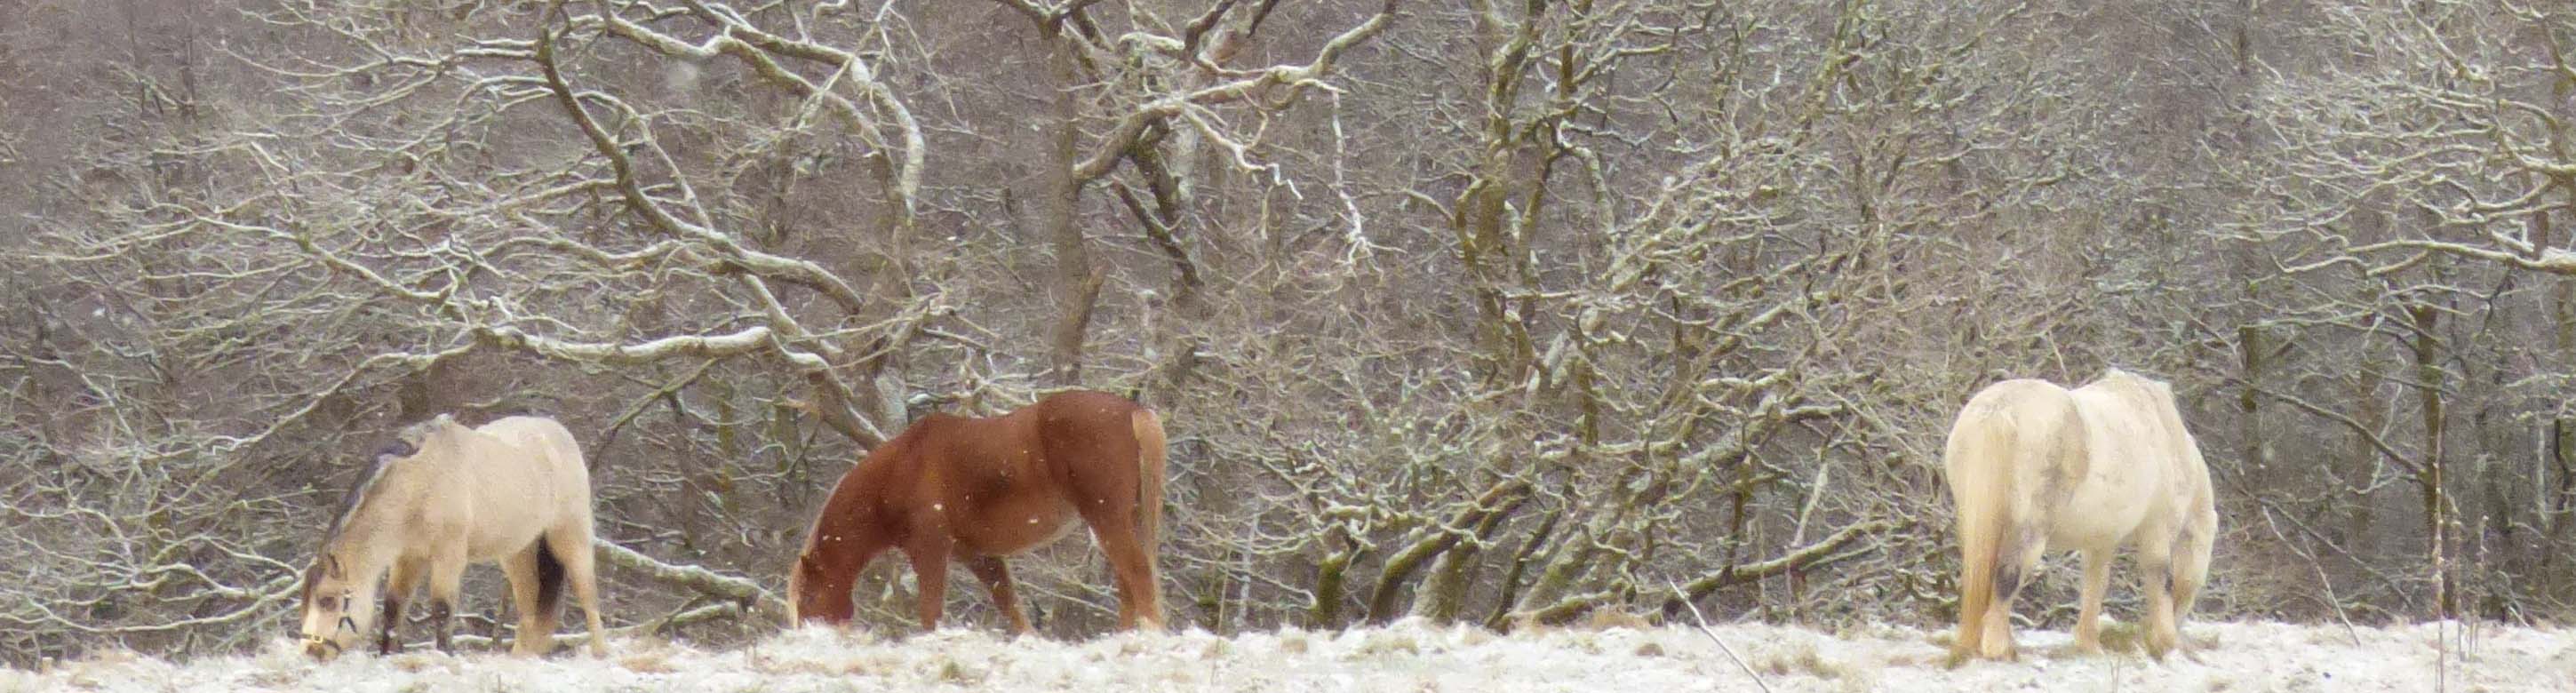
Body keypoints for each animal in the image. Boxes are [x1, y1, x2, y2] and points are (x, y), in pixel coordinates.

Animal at [297, 414, 609, 660]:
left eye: (328, 600)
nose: (312, 651)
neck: (420, 484)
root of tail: (560, 434)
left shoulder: (449, 557)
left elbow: (443, 608)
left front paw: (445, 654)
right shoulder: (408, 558)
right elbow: (394, 607)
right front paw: (388, 654)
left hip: (570, 538)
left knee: (589, 596)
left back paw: (599, 652)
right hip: (517, 551)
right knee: (530, 602)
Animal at [787, 389, 1168, 634]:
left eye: (809, 596)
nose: (807, 635)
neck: (901, 468)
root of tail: (1133, 410)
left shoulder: (930, 551)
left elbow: (930, 613)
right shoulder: (979, 557)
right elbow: (1011, 609)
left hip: (1108, 520)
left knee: (1138, 574)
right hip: (1124, 520)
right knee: (1128, 583)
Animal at [1941, 368, 2218, 663]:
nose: (2179, 622)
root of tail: (1999, 409)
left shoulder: (2101, 541)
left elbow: (2095, 584)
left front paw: (2089, 643)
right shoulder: (2157, 530)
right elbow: (2160, 577)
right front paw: (2166, 641)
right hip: (2030, 532)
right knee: (2007, 577)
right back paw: (1999, 649)